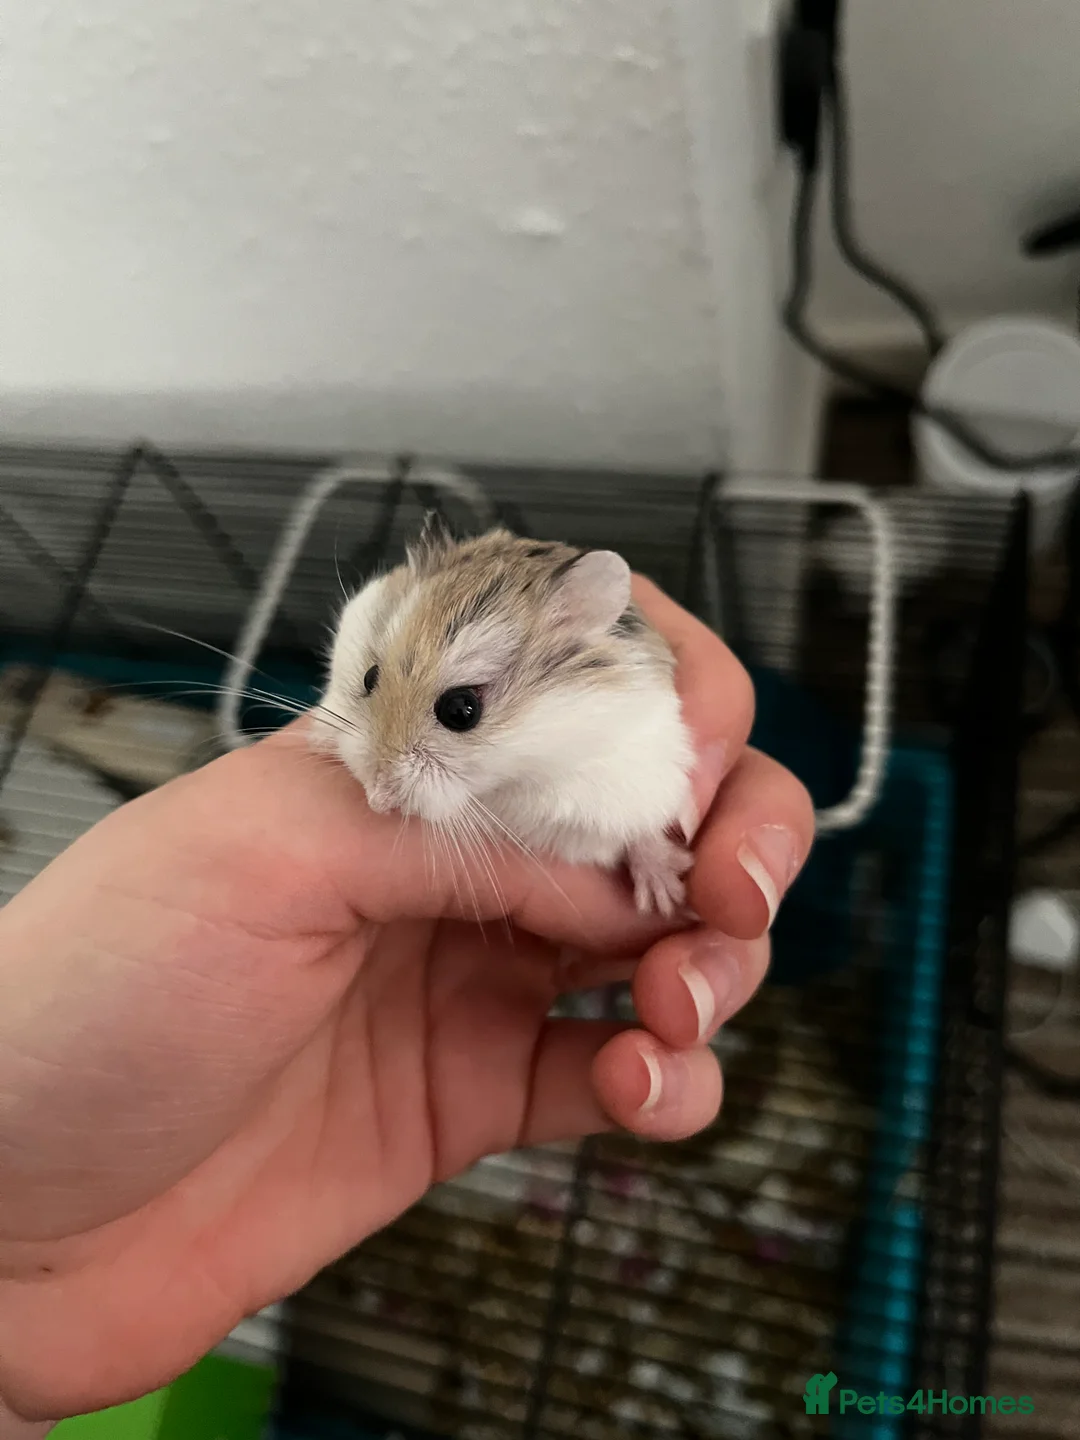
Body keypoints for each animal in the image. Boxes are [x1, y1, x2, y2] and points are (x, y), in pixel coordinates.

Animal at [316, 517, 696, 915]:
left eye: (461, 710)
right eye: (369, 677)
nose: (377, 801)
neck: (510, 780)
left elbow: (642, 832)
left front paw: (666, 900)